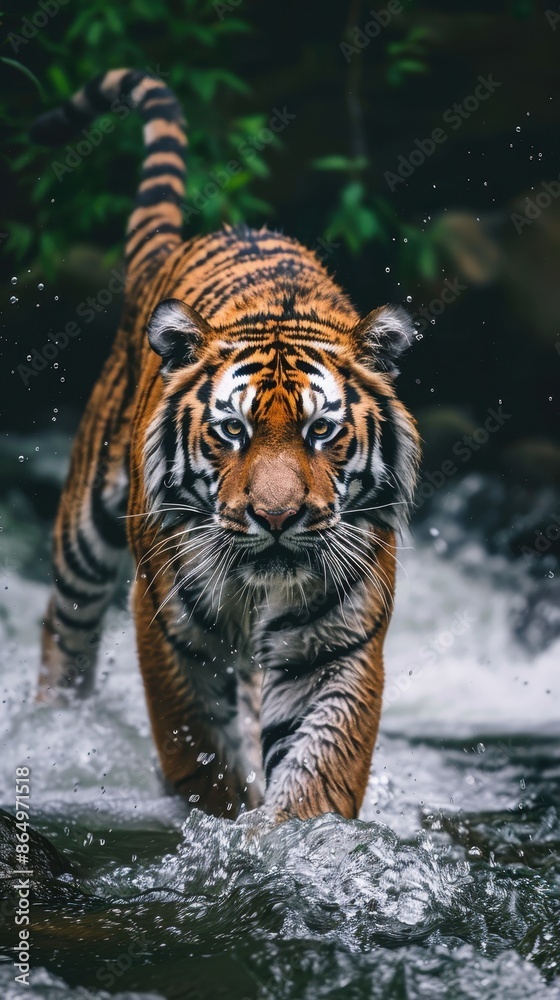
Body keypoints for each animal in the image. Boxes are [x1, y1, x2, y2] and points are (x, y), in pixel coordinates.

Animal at [32, 68, 420, 822]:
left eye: (321, 430)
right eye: (231, 430)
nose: (276, 518)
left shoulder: (335, 644)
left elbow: (317, 772)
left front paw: (291, 841)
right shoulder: (170, 630)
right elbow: (200, 752)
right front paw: (220, 824)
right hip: (84, 536)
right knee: (63, 632)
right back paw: (53, 729)